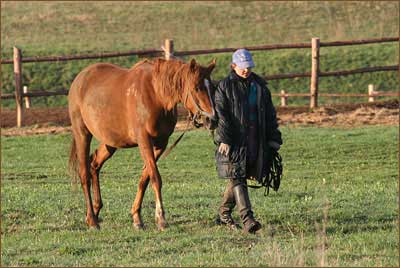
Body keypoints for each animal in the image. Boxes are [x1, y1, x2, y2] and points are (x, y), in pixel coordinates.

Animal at [68, 57, 216, 229]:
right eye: (196, 87)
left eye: (212, 88)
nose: (212, 120)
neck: (156, 95)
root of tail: (79, 78)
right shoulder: (144, 140)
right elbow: (155, 177)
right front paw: (161, 218)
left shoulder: (161, 144)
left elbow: (145, 179)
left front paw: (137, 217)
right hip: (82, 134)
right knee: (84, 174)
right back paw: (92, 220)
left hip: (110, 142)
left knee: (94, 164)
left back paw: (95, 211)